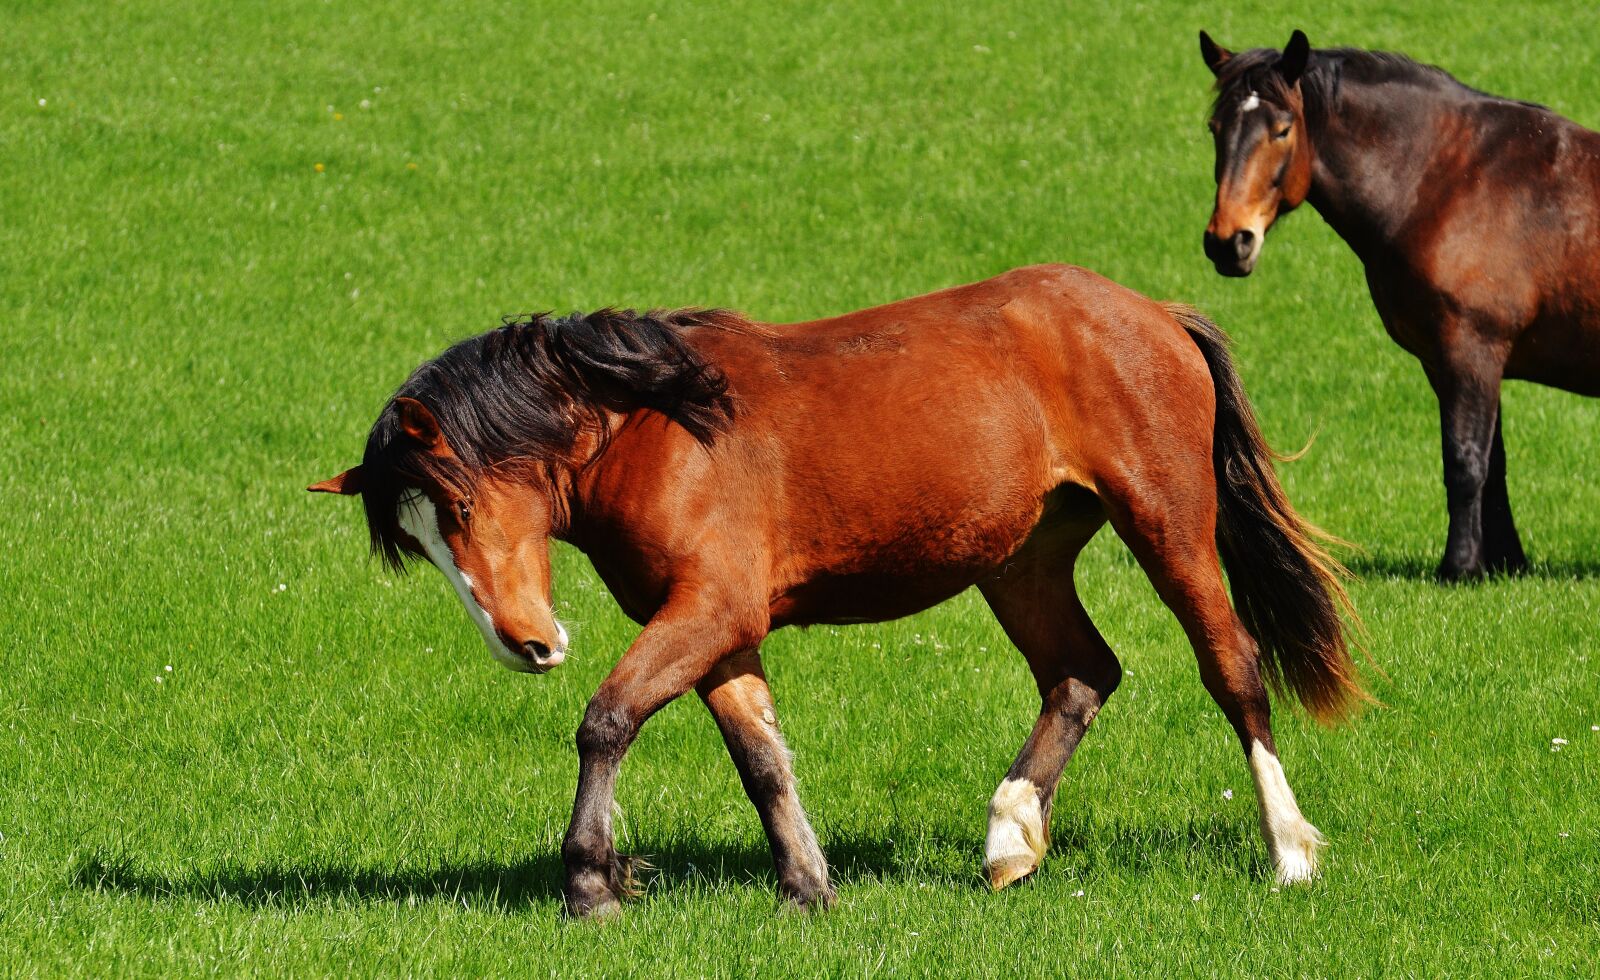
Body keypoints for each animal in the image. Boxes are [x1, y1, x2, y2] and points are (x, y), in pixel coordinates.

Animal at [309, 264, 1364, 917]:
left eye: (459, 506)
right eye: (420, 543)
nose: (528, 644)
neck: (657, 425)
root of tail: (1150, 310)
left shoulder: (707, 612)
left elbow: (606, 721)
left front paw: (591, 884)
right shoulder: (721, 633)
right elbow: (762, 761)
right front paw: (808, 888)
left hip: (1168, 524)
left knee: (1232, 668)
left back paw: (1290, 852)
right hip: (1020, 560)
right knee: (1081, 673)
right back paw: (1011, 837)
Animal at [1198, 29, 1600, 581]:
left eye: (1281, 130)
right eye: (1215, 128)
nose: (1228, 242)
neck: (1448, 178)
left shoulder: (1471, 352)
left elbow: (1466, 461)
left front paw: (1458, 567)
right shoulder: (1452, 362)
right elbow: (1493, 466)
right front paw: (1504, 563)